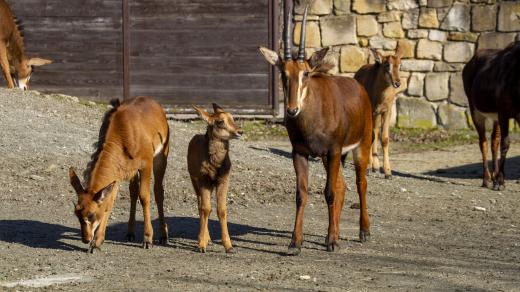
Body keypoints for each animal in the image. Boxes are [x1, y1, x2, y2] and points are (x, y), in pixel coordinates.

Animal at [68, 97, 170, 252]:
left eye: (91, 214)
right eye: (77, 213)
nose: (86, 239)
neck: (125, 132)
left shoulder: (146, 165)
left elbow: (145, 197)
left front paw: (147, 239)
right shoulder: (117, 175)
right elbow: (109, 202)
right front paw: (96, 242)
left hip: (160, 158)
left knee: (158, 191)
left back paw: (163, 236)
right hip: (131, 171)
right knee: (133, 192)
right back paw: (130, 233)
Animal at [188, 103, 243, 253]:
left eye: (232, 117)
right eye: (219, 121)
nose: (240, 131)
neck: (216, 165)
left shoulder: (223, 180)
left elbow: (221, 209)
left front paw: (229, 246)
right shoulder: (203, 180)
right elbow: (206, 208)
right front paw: (202, 245)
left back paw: (209, 240)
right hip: (194, 180)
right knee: (200, 206)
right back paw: (203, 239)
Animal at [258, 4, 374, 256]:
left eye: (306, 73)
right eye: (283, 73)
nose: (291, 110)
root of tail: (359, 87)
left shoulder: (333, 150)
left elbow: (329, 193)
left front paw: (331, 242)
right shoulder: (300, 153)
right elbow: (301, 194)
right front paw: (295, 243)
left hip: (360, 147)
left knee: (360, 184)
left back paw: (364, 232)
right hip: (331, 157)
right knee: (342, 186)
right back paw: (338, 233)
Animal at [356, 46, 404, 178]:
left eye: (400, 64)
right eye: (387, 65)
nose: (397, 83)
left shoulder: (386, 111)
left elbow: (384, 138)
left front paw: (388, 172)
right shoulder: (372, 111)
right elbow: (371, 136)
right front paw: (367, 168)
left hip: (377, 115)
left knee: (376, 132)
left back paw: (376, 166)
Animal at [464, 41, 520, 192]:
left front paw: (499, 180)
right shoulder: (504, 113)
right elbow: (505, 143)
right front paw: (501, 182)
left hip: (496, 118)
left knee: (494, 141)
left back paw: (494, 178)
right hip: (476, 112)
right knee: (483, 142)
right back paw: (487, 179)